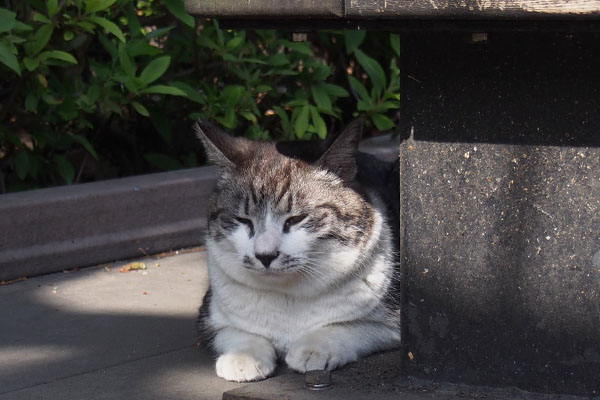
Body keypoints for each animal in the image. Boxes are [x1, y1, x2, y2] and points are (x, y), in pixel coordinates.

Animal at [195, 119, 398, 382]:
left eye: (296, 219)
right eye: (243, 220)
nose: (265, 255)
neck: (287, 297)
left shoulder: (392, 324)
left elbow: (350, 327)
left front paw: (314, 348)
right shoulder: (207, 317)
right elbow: (232, 331)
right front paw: (243, 356)